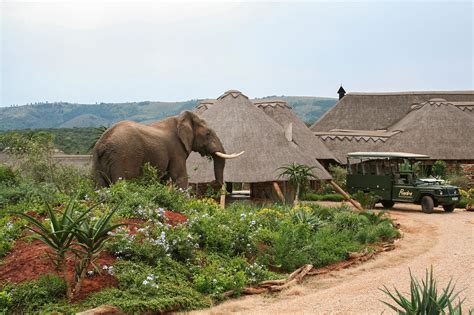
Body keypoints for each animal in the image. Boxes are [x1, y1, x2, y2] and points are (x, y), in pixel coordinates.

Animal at [91, 111, 243, 189]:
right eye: (208, 134)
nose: (212, 182)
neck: (181, 119)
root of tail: (102, 144)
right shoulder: (176, 149)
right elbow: (179, 176)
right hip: (124, 157)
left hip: (98, 162)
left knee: (99, 186)